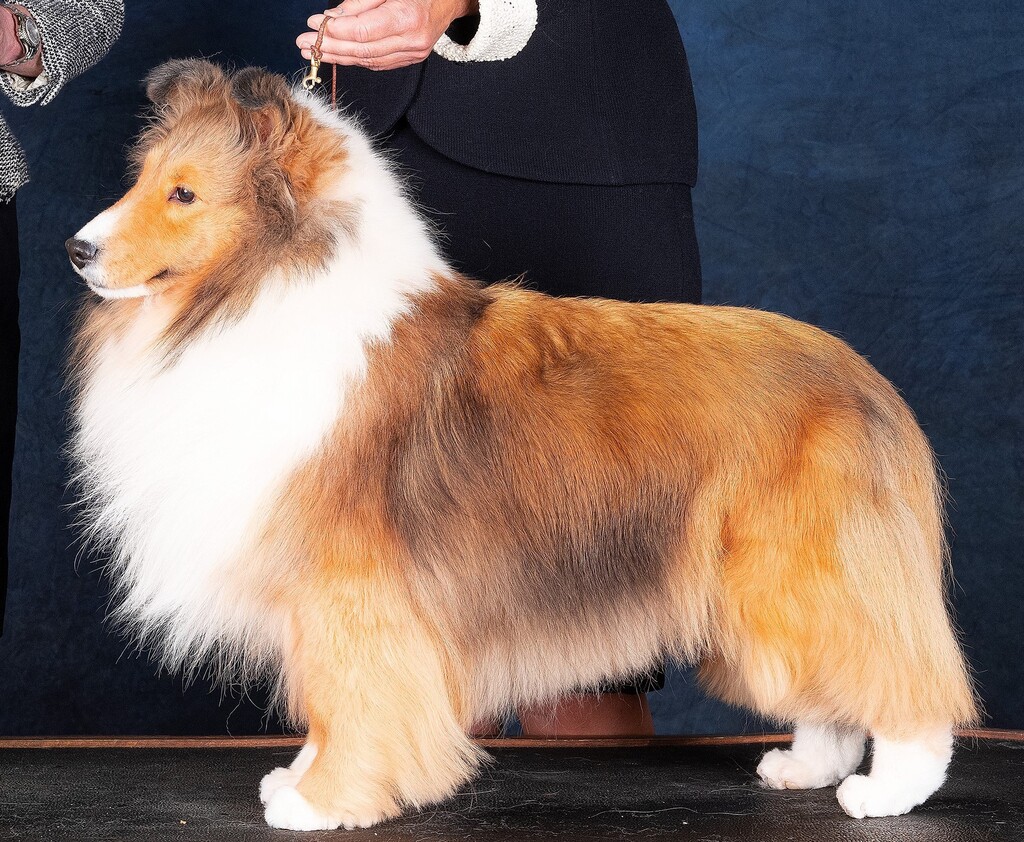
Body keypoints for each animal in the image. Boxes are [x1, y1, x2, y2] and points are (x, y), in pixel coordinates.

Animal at [65, 60, 977, 831]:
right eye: (141, 180)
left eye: (184, 194)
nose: (77, 248)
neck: (256, 294)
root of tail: (869, 383)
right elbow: (331, 696)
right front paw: (303, 775)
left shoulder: (347, 583)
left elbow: (352, 692)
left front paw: (323, 800)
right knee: (825, 685)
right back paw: (806, 768)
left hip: (797, 569)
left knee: (899, 681)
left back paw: (889, 791)